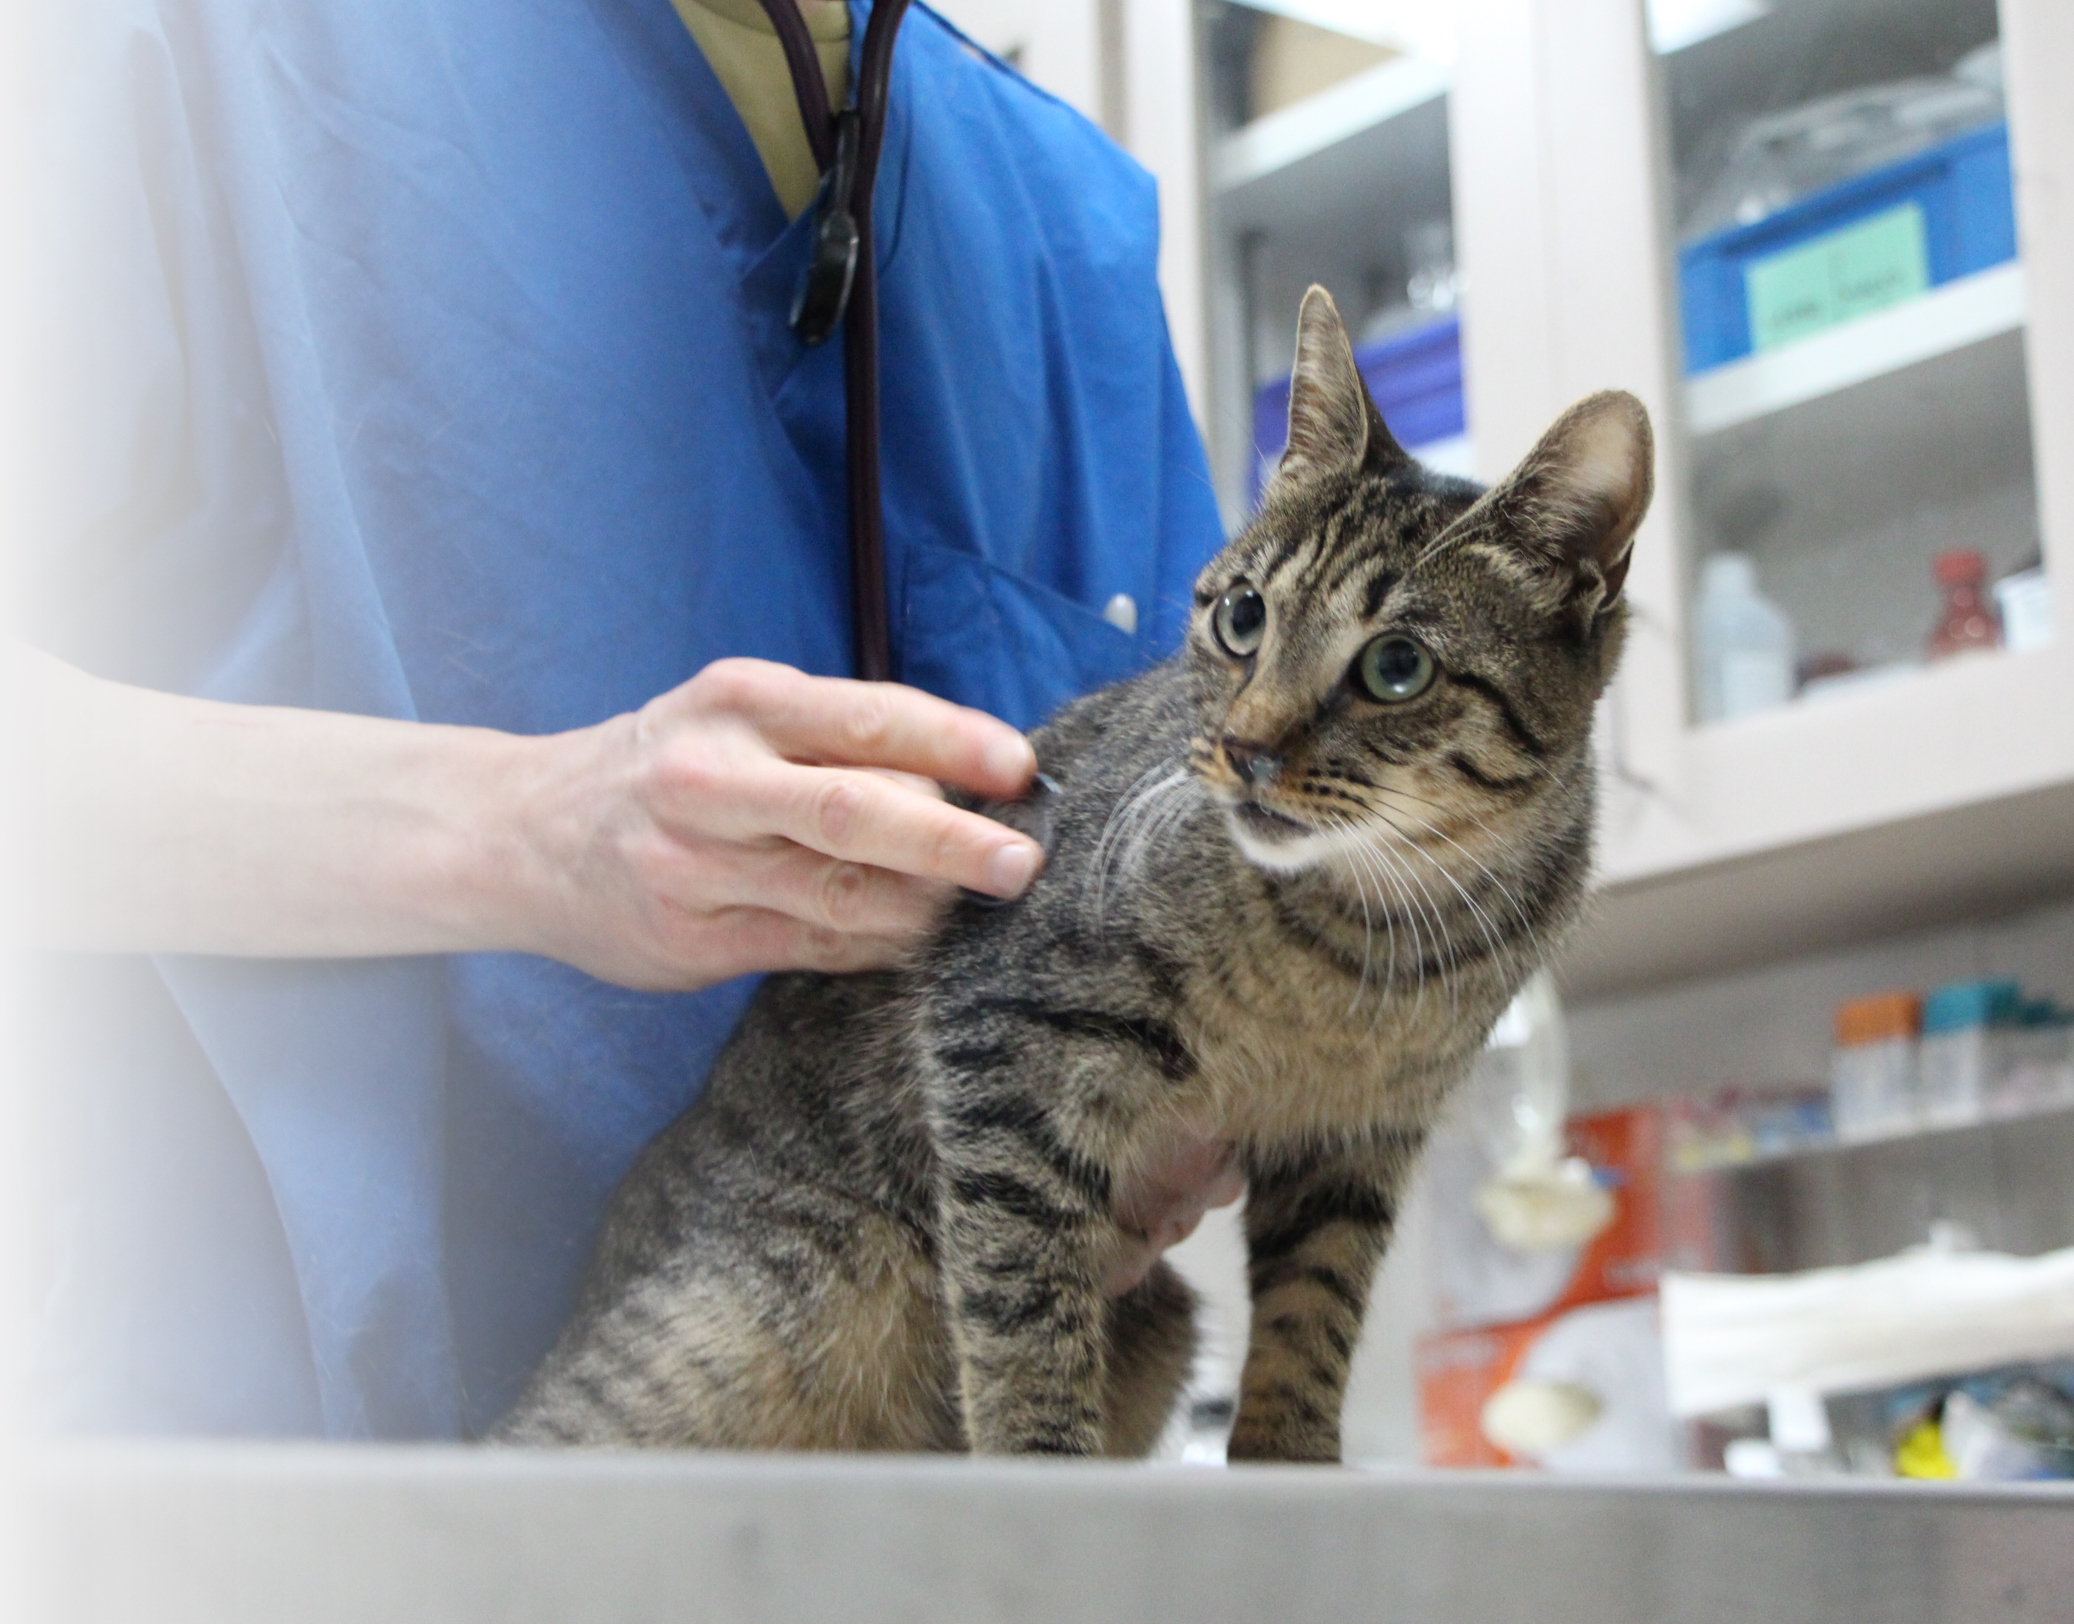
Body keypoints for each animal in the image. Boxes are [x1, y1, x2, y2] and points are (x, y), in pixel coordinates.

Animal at [497, 288, 1650, 1460]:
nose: (1243, 748)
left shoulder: (1354, 1147)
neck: (1356, 935)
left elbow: (1312, 1319)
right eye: (1242, 617)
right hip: (749, 1322)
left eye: (1398, 667)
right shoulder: (1003, 1041)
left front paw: (1289, 1458)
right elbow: (1020, 1309)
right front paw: (1042, 1458)